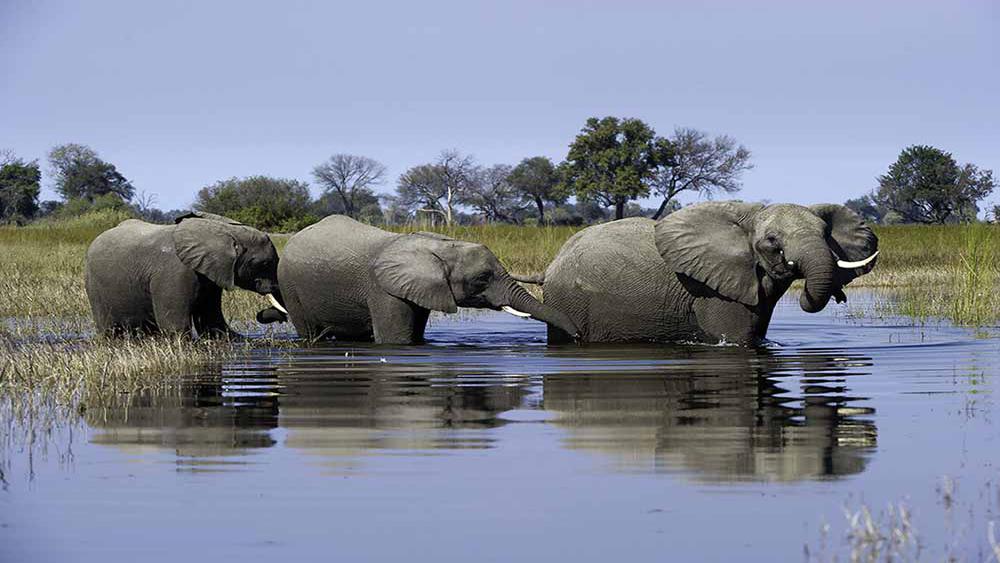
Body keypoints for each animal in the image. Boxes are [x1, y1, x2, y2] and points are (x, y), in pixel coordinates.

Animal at [84, 210, 286, 334]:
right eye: (264, 263)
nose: (263, 314)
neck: (222, 232)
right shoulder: (174, 271)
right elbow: (175, 326)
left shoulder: (210, 273)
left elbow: (212, 322)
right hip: (94, 287)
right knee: (108, 329)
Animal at [264, 216, 580, 346]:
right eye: (482, 279)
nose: (577, 337)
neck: (440, 246)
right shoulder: (383, 290)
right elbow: (396, 340)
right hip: (290, 285)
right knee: (307, 329)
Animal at [544, 200, 880, 346]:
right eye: (772, 241)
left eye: (826, 234)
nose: (840, 297)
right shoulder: (711, 291)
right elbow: (737, 338)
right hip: (569, 300)